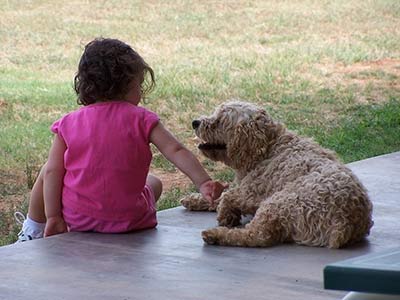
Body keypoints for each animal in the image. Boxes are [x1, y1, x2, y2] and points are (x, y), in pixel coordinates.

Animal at [180, 101, 374, 248]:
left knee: (256, 236)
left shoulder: (253, 194)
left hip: (279, 203)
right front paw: (196, 199)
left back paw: (215, 235)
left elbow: (227, 196)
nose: (195, 122)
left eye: (220, 120)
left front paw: (225, 215)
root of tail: (346, 223)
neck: (268, 147)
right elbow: (219, 196)